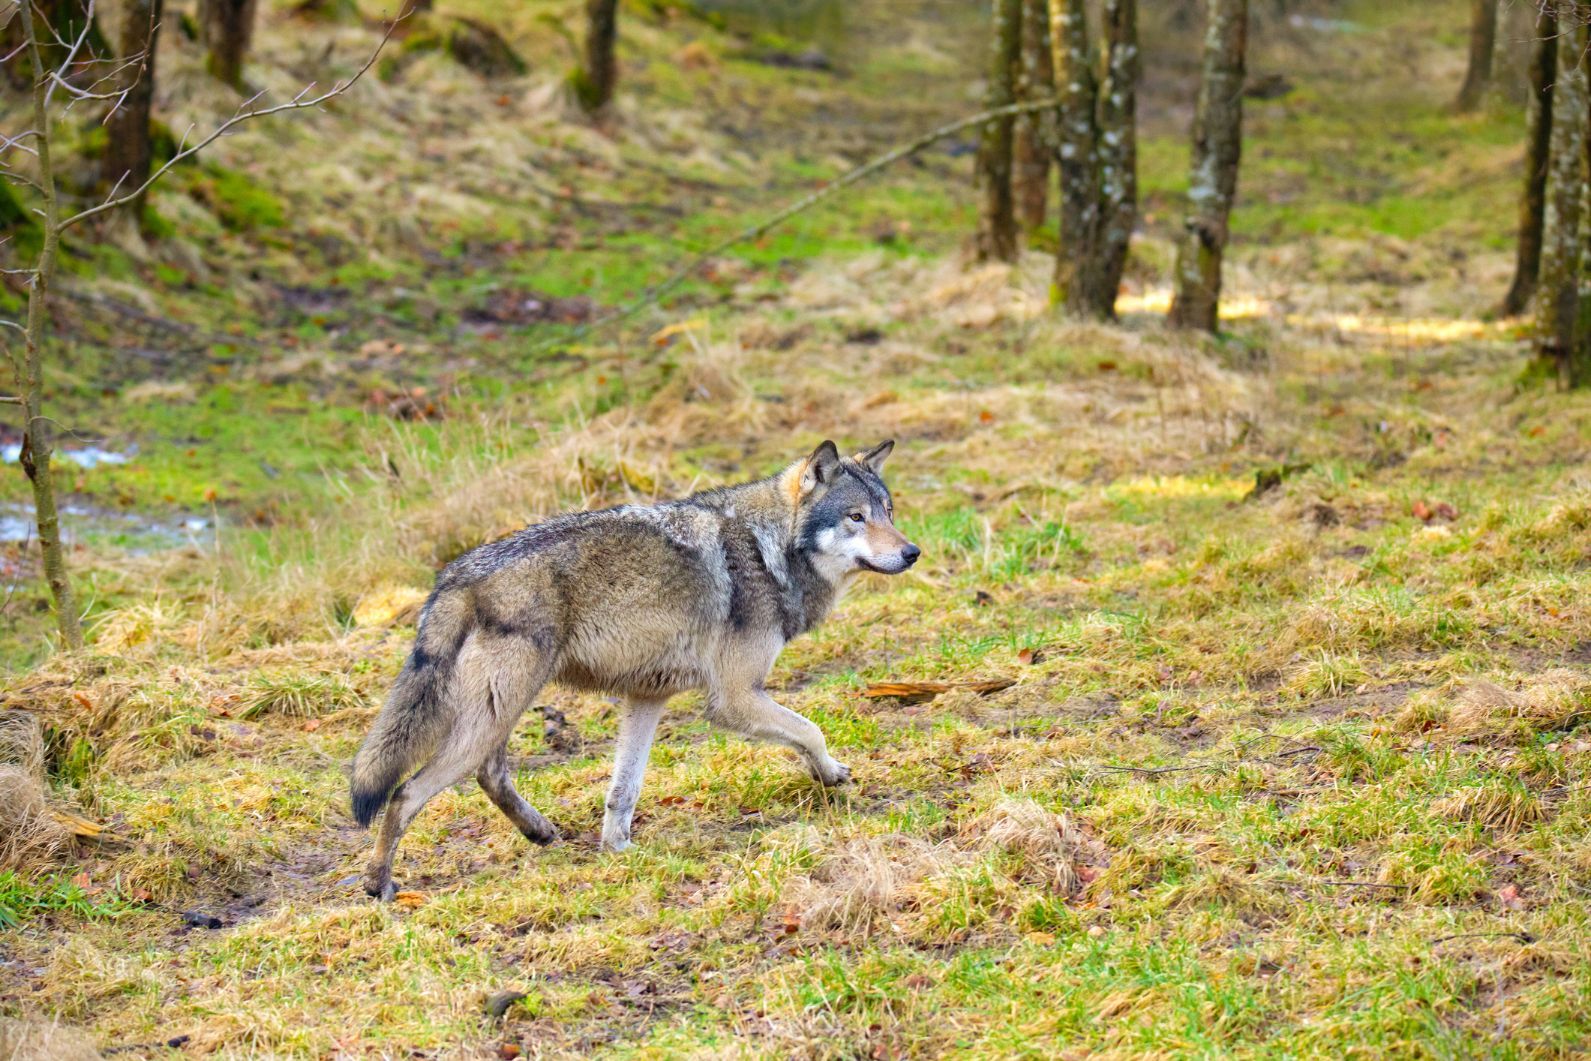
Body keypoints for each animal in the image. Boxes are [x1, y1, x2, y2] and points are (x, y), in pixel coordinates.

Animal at [348, 439, 922, 897]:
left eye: (889, 511)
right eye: (856, 517)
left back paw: (539, 831)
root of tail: (455, 575)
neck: (769, 551)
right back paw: (379, 884)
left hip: (498, 711)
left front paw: (617, 851)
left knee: (489, 773)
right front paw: (831, 774)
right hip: (498, 710)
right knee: (406, 793)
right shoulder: (734, 698)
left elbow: (622, 791)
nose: (913, 551)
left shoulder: (648, 697)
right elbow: (811, 731)